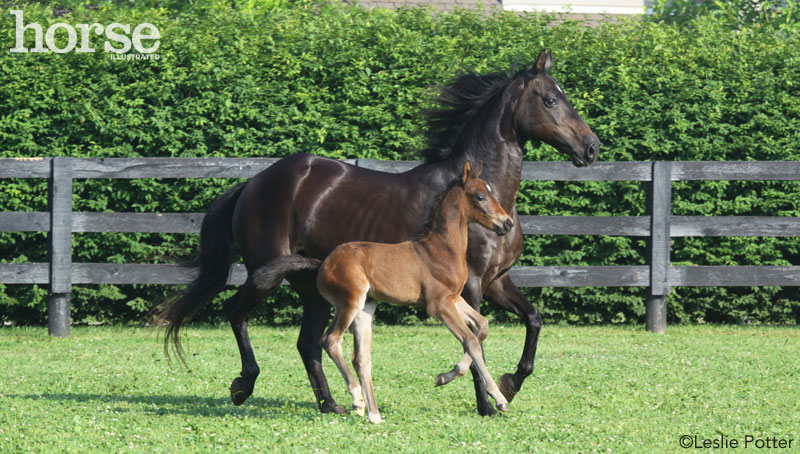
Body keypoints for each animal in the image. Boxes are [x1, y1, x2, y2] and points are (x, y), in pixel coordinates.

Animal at [318, 161, 512, 424]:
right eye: (480, 196)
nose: (507, 223)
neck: (441, 249)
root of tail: (324, 264)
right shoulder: (438, 305)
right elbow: (470, 340)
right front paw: (499, 398)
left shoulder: (454, 298)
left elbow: (482, 326)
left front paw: (445, 376)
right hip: (350, 303)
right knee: (331, 341)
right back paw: (358, 399)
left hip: (366, 308)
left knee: (361, 358)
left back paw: (374, 414)